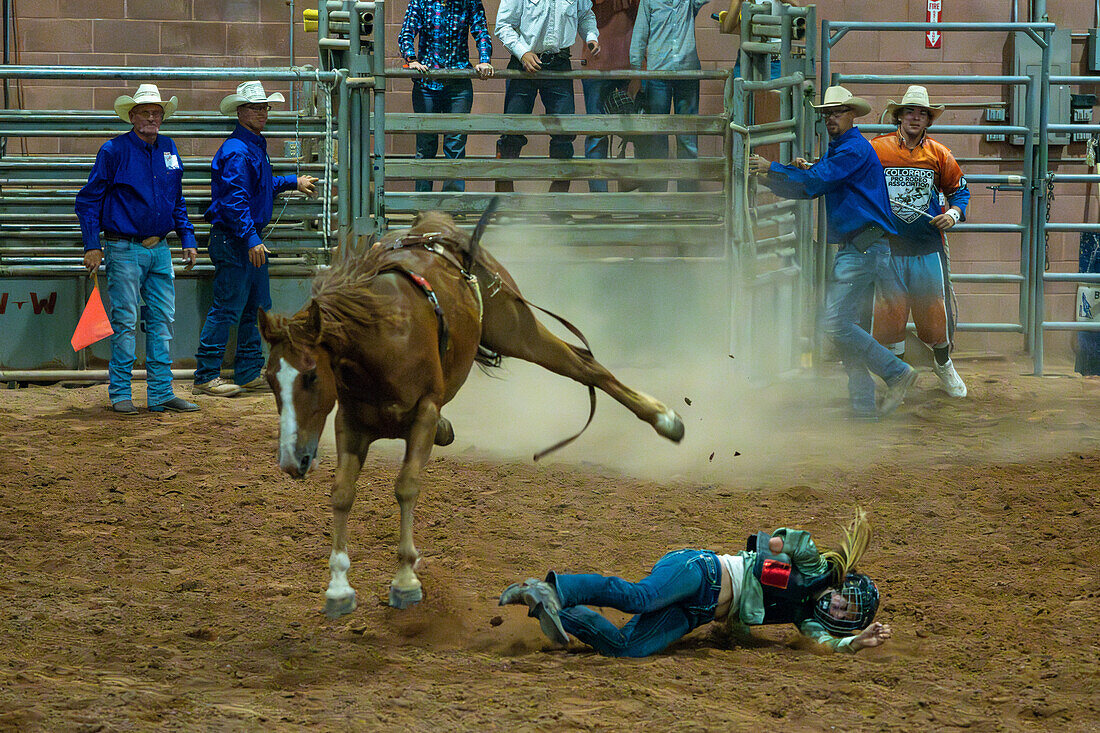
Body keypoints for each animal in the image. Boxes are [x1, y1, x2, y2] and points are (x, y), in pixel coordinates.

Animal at [260, 202, 682, 611]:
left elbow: (406, 486)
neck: (381, 337)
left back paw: (666, 420)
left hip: (515, 326)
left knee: (584, 364)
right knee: (582, 362)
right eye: (269, 378)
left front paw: (405, 580)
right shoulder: (351, 423)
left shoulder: (424, 413)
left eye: (311, 376)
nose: (290, 461)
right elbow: (342, 493)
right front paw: (338, 586)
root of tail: (439, 229)